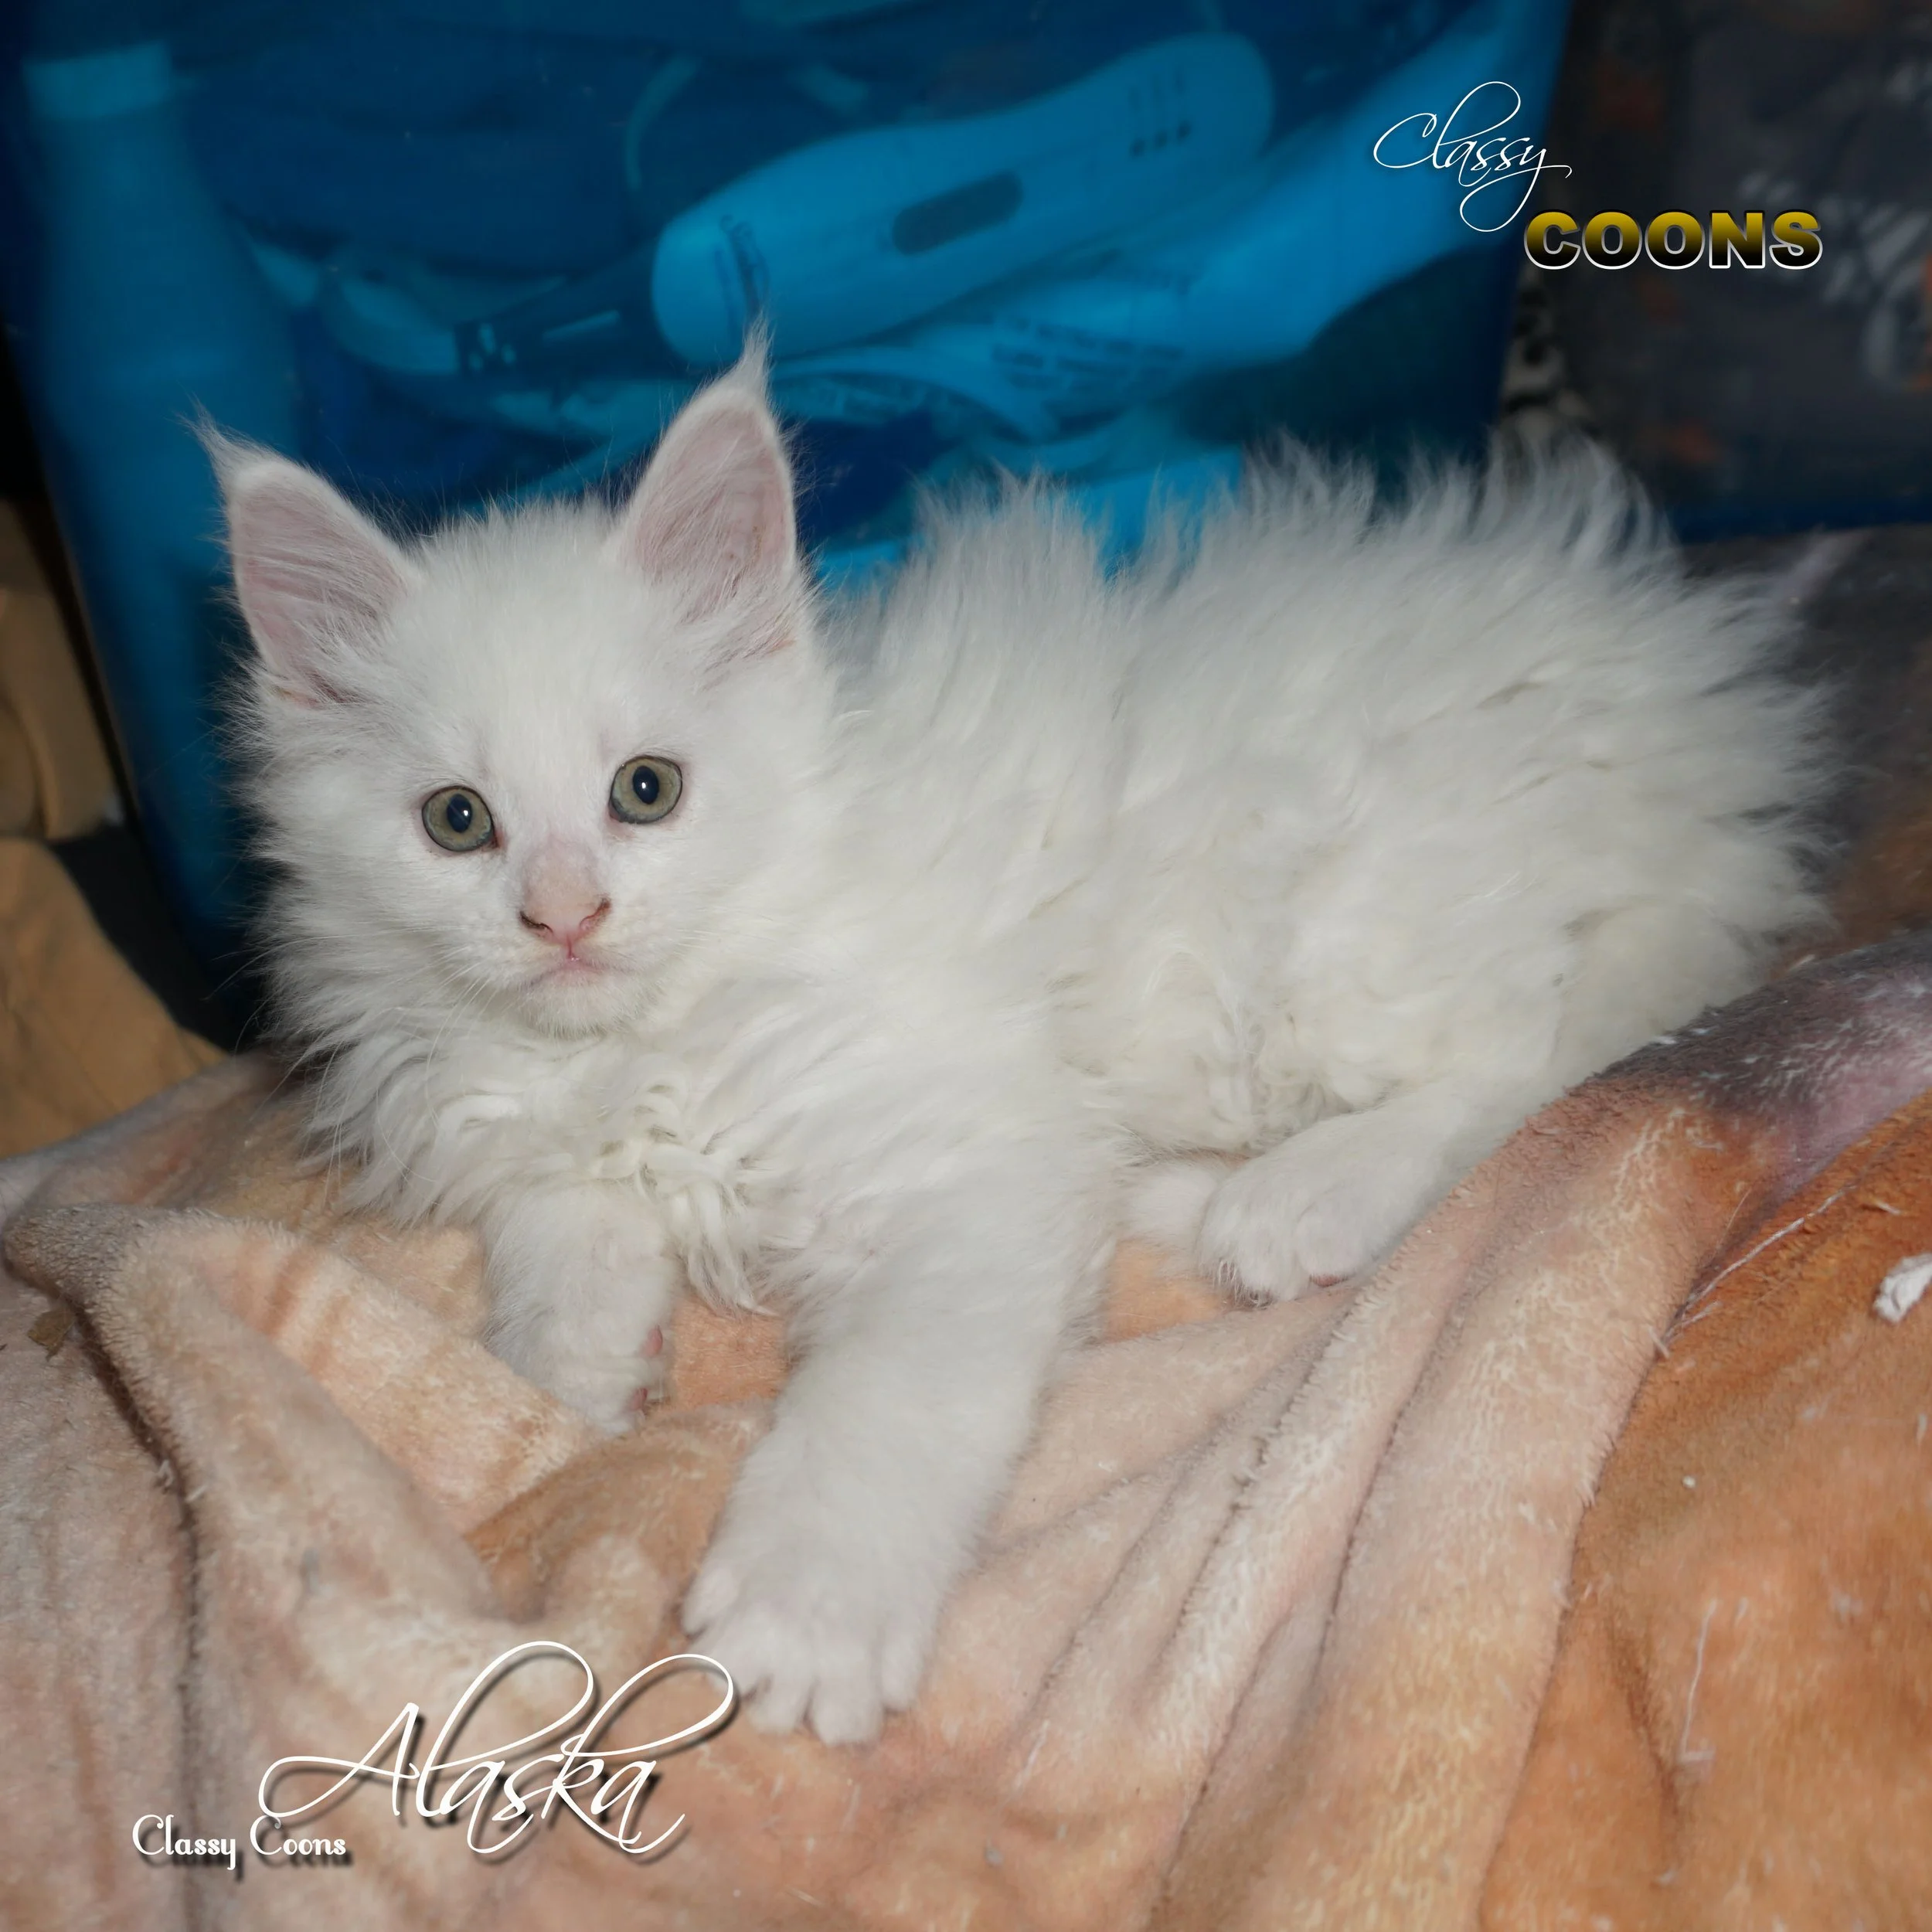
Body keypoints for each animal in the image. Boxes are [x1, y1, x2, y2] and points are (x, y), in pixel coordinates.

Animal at [216, 345, 1826, 1744]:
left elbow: (894, 1397)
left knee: (1538, 1054)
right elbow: (562, 1245)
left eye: (647, 789)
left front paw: (809, 1613)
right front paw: (588, 1370)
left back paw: (1291, 1201)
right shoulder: (539, 1138)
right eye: (458, 822)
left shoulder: (969, 1156)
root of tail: (1697, 743)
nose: (564, 917)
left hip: (1350, 912)